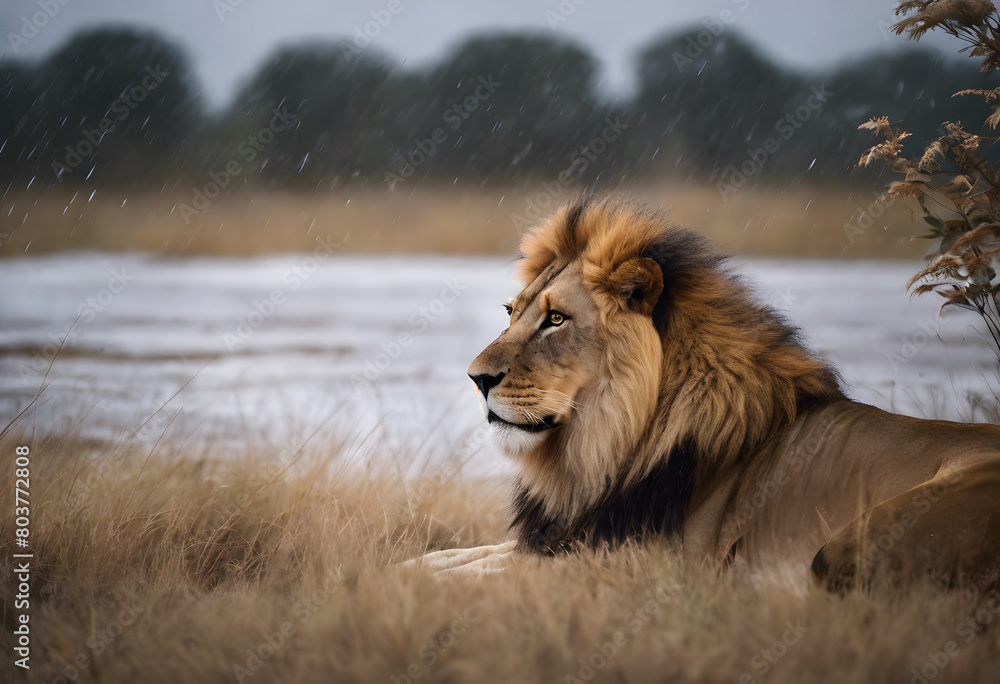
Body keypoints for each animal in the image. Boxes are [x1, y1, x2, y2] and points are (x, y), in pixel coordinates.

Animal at [412, 196, 1000, 590]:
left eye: (556, 319)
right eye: (511, 313)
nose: (476, 378)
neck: (599, 448)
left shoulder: (629, 563)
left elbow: (485, 571)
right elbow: (462, 555)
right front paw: (402, 568)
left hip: (855, 537)